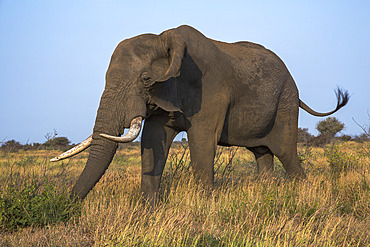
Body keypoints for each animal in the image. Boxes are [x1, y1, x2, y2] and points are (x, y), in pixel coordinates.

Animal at [50, 25, 348, 204]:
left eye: (146, 79)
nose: (67, 206)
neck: (167, 39)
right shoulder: (166, 95)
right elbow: (152, 141)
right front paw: (149, 210)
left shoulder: (211, 89)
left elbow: (202, 141)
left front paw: (204, 206)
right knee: (262, 154)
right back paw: (267, 193)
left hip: (285, 102)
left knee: (287, 153)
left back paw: (302, 193)